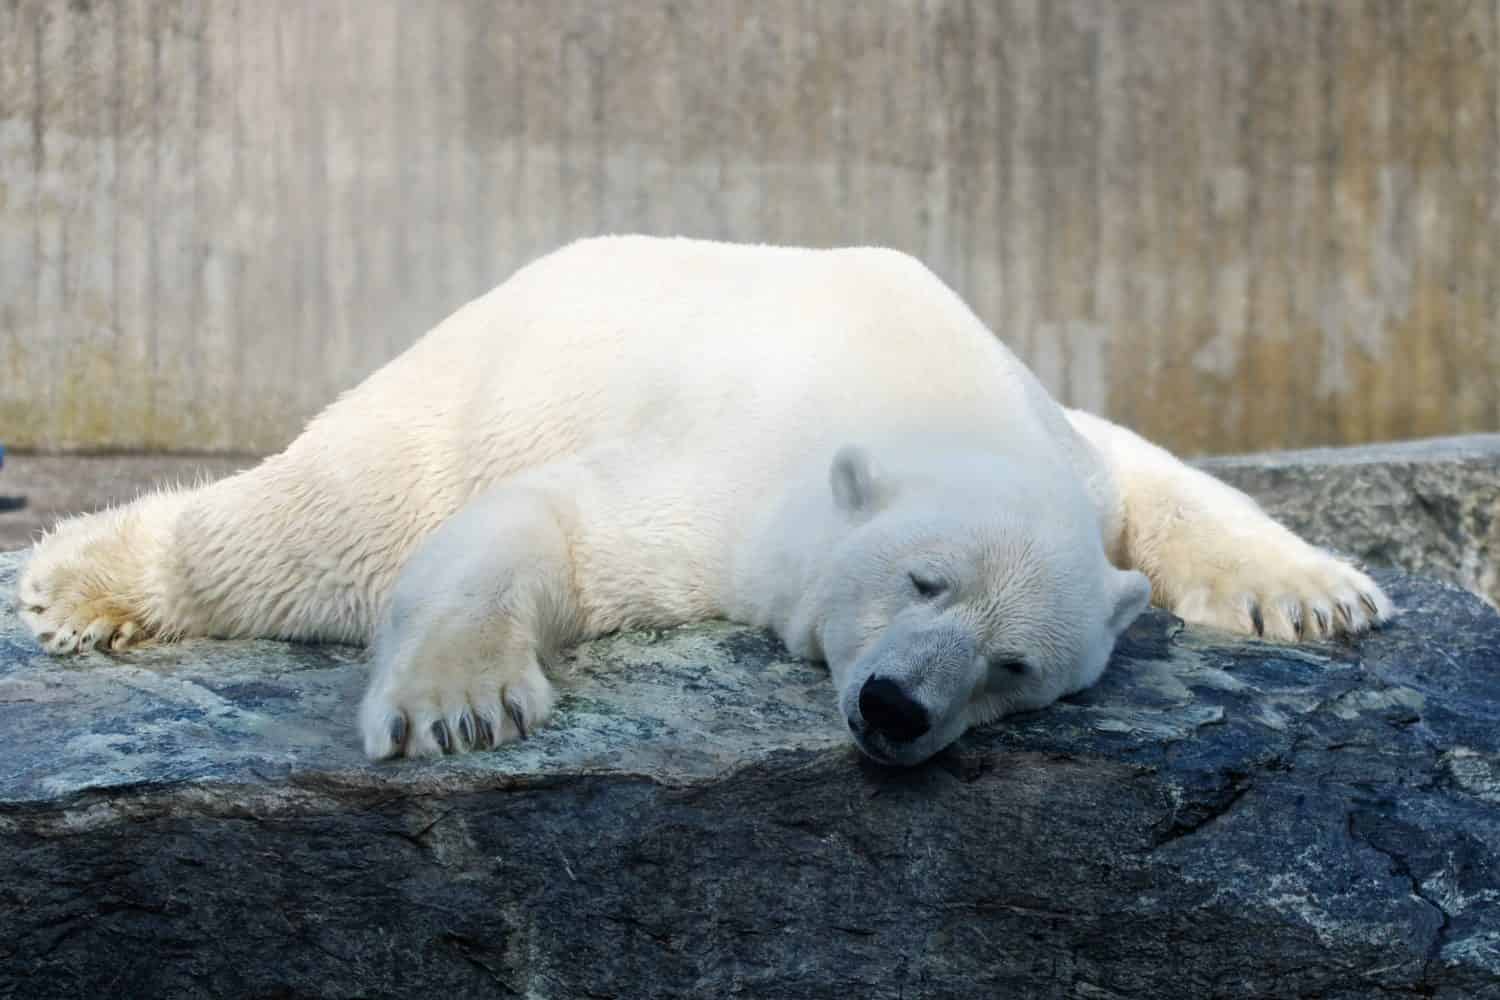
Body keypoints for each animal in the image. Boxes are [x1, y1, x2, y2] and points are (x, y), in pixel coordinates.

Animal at [14, 236, 1392, 767]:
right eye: (921, 579)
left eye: (1013, 667)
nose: (896, 709)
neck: (927, 383)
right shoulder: (738, 479)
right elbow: (556, 523)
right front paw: (467, 705)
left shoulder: (1063, 440)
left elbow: (1155, 470)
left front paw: (1323, 593)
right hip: (456, 394)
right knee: (321, 526)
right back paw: (76, 579)